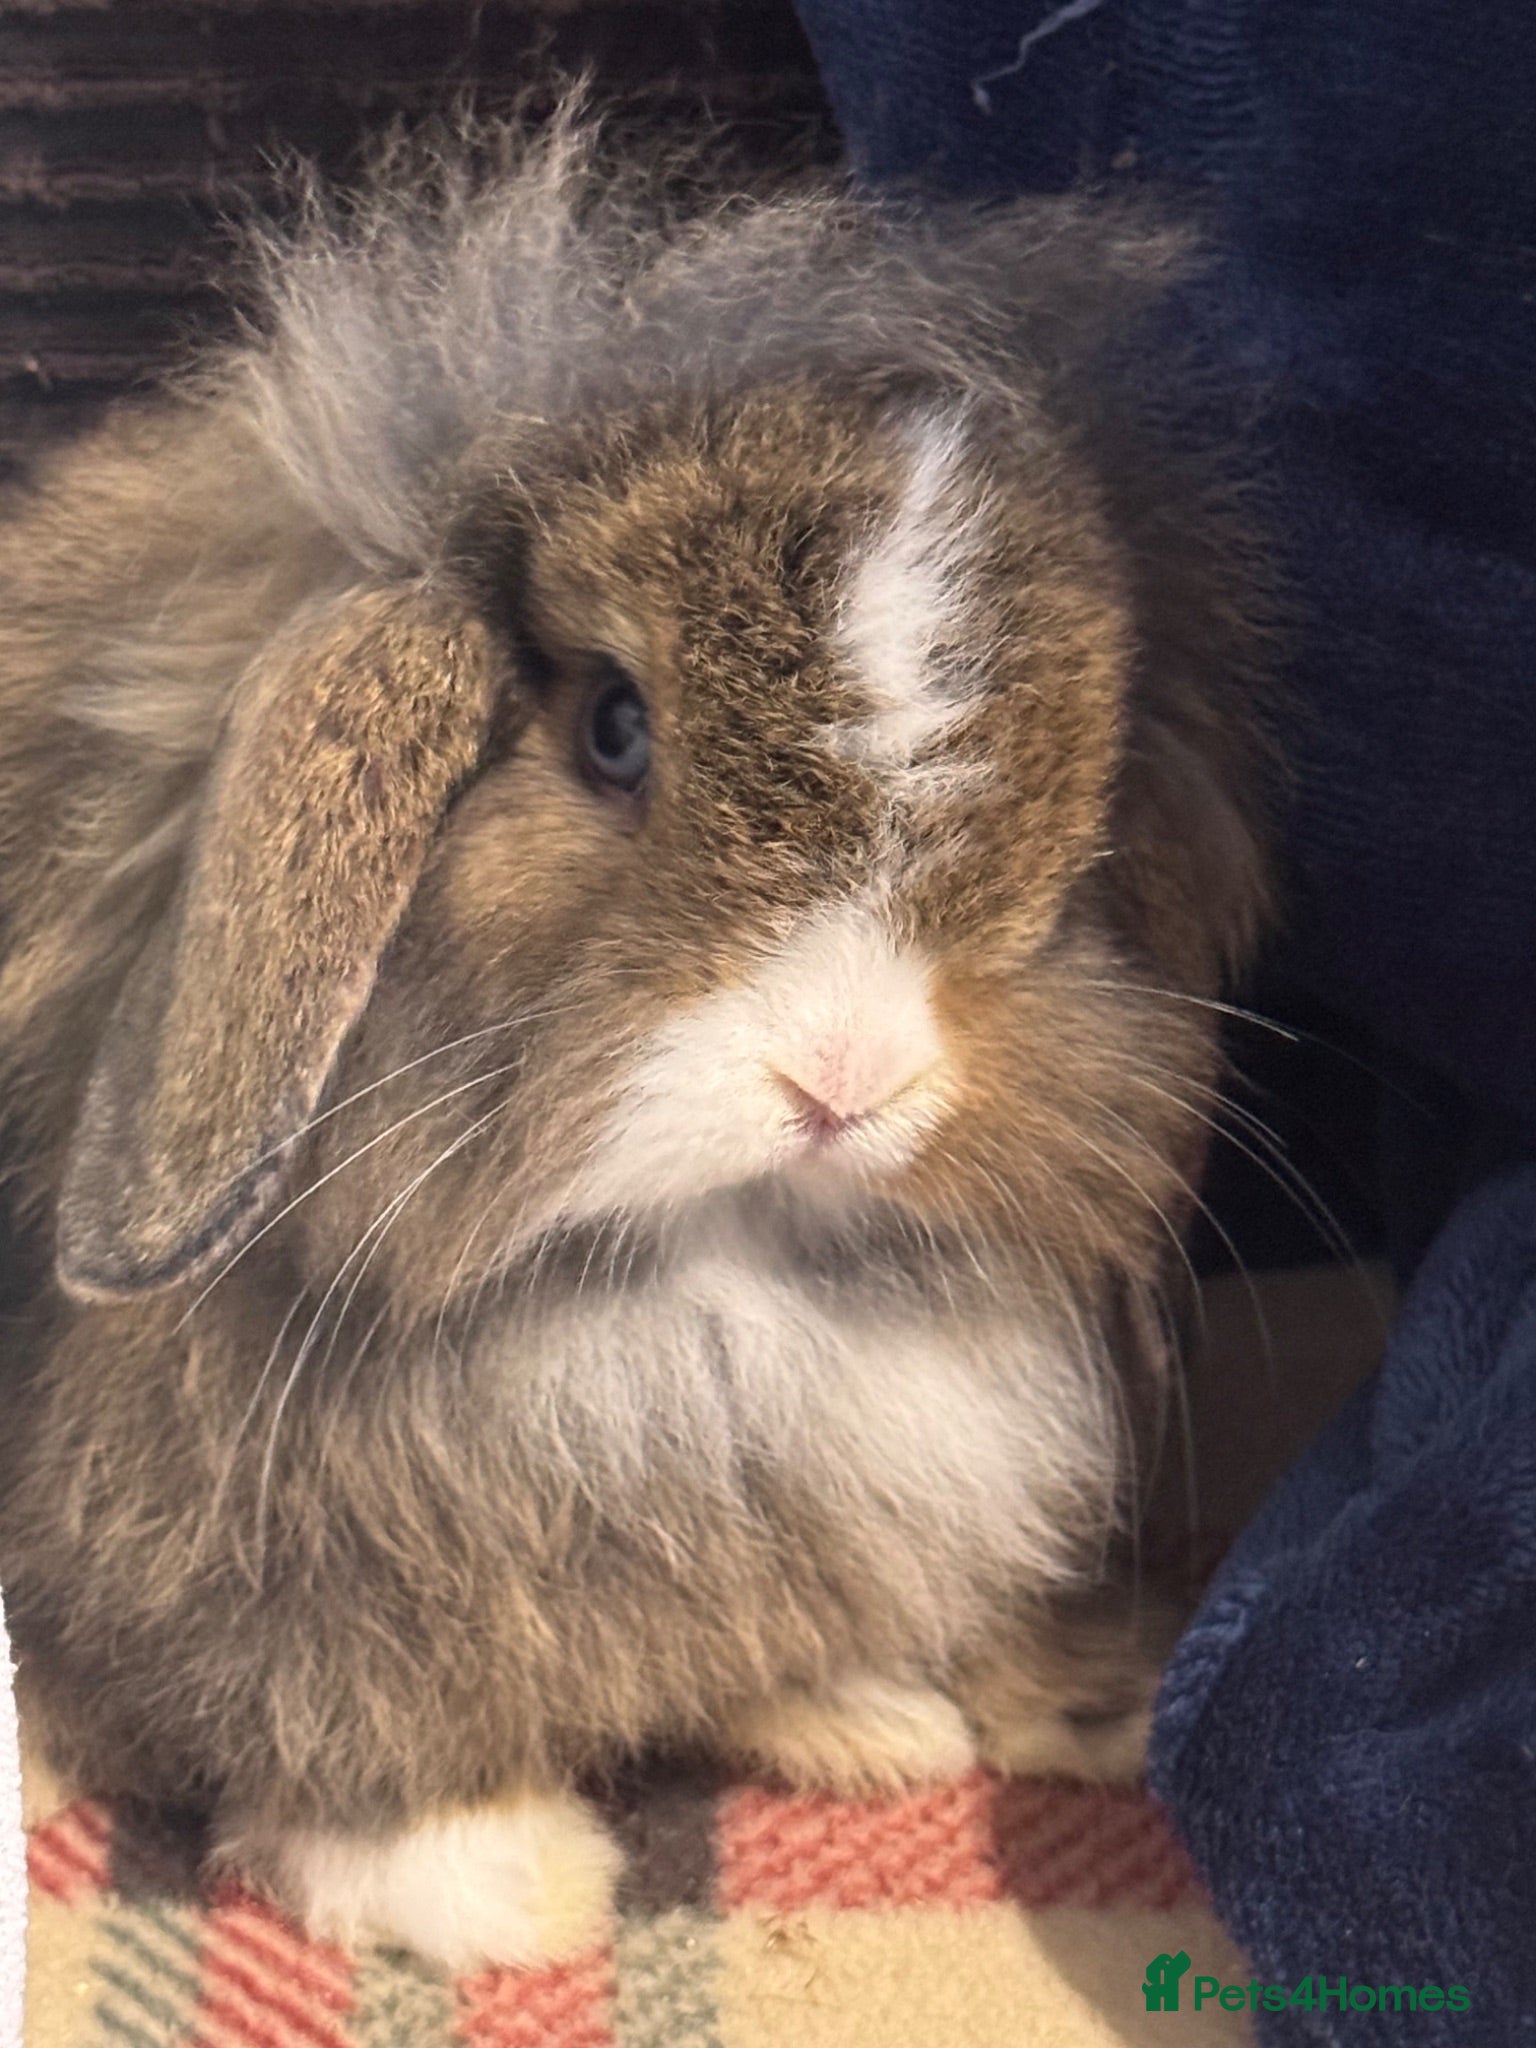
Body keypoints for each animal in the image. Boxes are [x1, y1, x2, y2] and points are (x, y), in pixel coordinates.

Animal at [0, 105, 1273, 1969]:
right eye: (613, 728)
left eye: (1082, 804)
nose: (848, 1075)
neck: (702, 1282)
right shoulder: (251, 1557)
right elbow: (337, 1724)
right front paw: (507, 1885)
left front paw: (872, 1720)